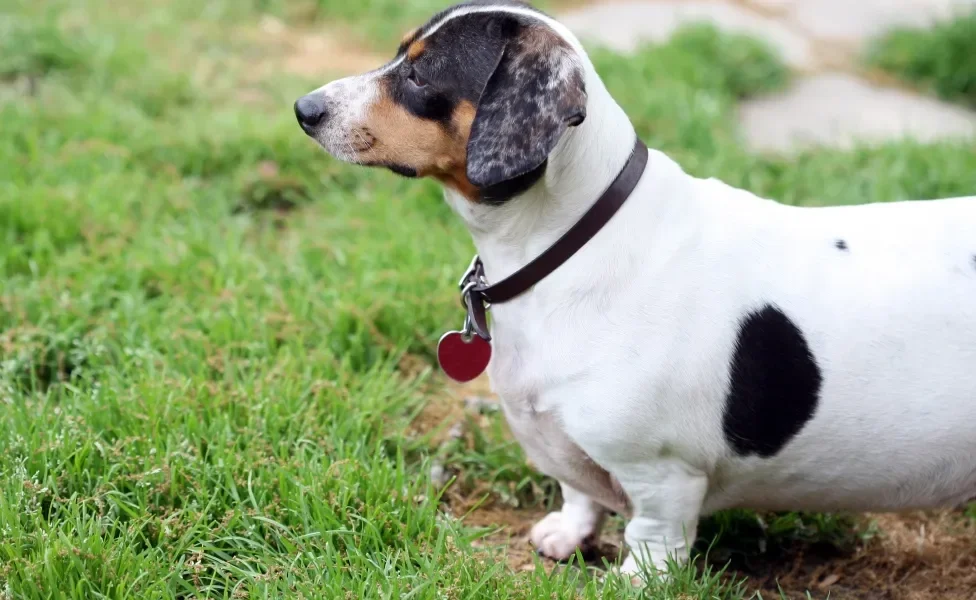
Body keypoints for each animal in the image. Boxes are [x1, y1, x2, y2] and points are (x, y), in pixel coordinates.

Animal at [294, 0, 976, 580]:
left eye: (419, 74)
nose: (303, 109)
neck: (572, 246)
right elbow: (578, 493)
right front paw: (566, 535)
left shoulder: (663, 475)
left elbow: (652, 536)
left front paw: (634, 580)